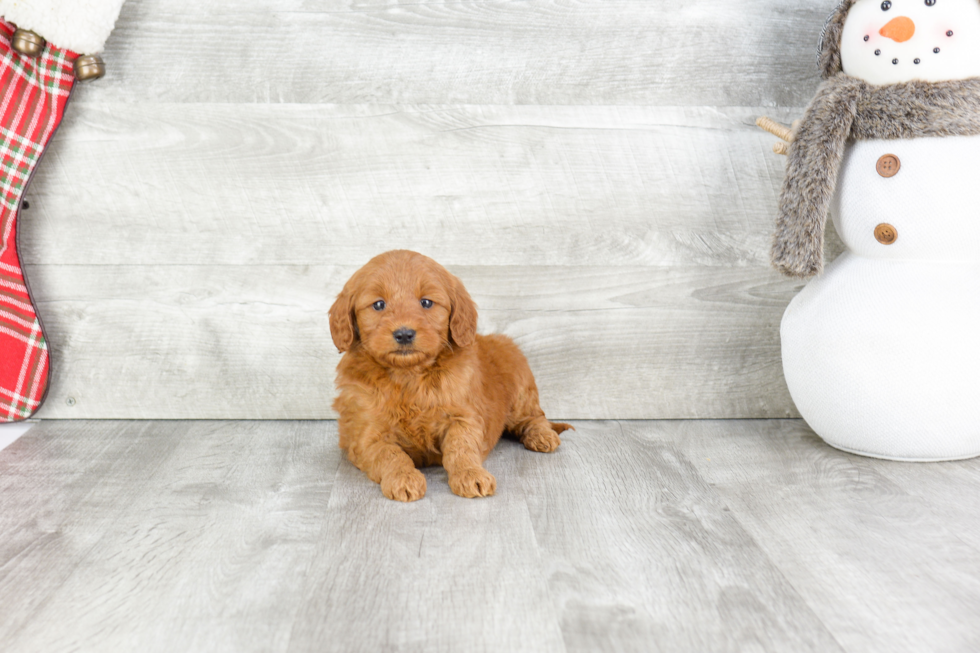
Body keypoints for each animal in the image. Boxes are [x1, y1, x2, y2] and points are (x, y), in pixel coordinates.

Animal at [332, 248, 576, 500]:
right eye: (379, 304)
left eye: (426, 302)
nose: (404, 334)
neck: (409, 375)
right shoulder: (367, 433)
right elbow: (389, 454)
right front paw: (403, 478)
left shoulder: (464, 416)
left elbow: (462, 447)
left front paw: (470, 474)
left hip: (521, 392)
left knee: (535, 416)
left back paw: (542, 436)